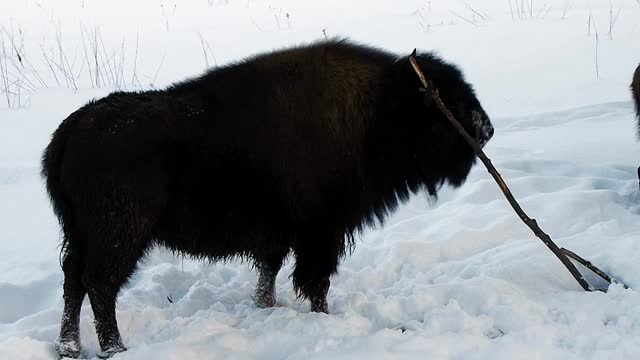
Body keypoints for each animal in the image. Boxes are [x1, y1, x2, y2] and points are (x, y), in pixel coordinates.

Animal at [42, 39, 496, 358]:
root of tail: (70, 132)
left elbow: (271, 272)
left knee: (74, 280)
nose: (486, 129)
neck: (378, 107)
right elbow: (315, 281)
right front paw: (322, 317)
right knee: (100, 284)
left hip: (83, 235)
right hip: (121, 235)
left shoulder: (280, 236)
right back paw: (115, 349)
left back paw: (70, 348)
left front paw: (265, 307)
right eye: (441, 97)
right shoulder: (320, 234)